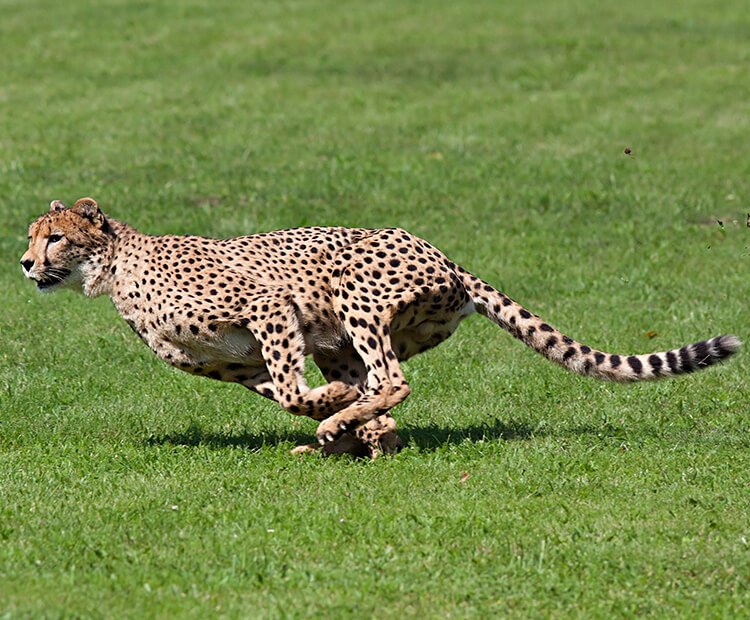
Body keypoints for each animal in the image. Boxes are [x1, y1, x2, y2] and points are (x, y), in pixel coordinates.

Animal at [22, 196, 740, 458]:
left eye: (54, 236)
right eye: (32, 237)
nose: (26, 263)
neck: (115, 267)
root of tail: (446, 256)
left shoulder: (269, 306)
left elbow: (294, 391)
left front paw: (334, 414)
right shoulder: (238, 363)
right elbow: (287, 393)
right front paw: (339, 419)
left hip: (352, 295)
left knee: (391, 380)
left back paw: (350, 428)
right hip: (344, 335)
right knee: (378, 391)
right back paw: (360, 437)